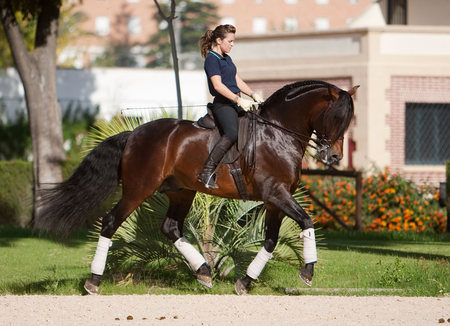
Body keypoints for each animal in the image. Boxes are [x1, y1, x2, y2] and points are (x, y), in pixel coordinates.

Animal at [35, 79, 358, 296]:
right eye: (335, 118)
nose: (334, 157)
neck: (278, 133)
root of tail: (134, 133)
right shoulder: (276, 193)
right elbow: (306, 221)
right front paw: (308, 271)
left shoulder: (273, 200)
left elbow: (270, 240)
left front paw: (245, 282)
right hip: (138, 189)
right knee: (111, 222)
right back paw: (93, 281)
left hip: (181, 192)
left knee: (170, 228)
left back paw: (203, 271)